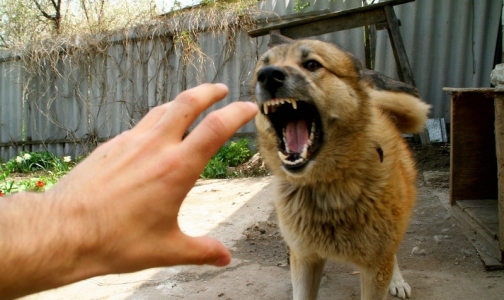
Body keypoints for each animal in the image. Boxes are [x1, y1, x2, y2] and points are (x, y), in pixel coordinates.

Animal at [251, 37, 430, 300]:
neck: (328, 187)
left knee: (394, 254)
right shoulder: (305, 259)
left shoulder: (375, 267)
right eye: (261, 70)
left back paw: (397, 280)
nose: (268, 76)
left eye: (312, 64)